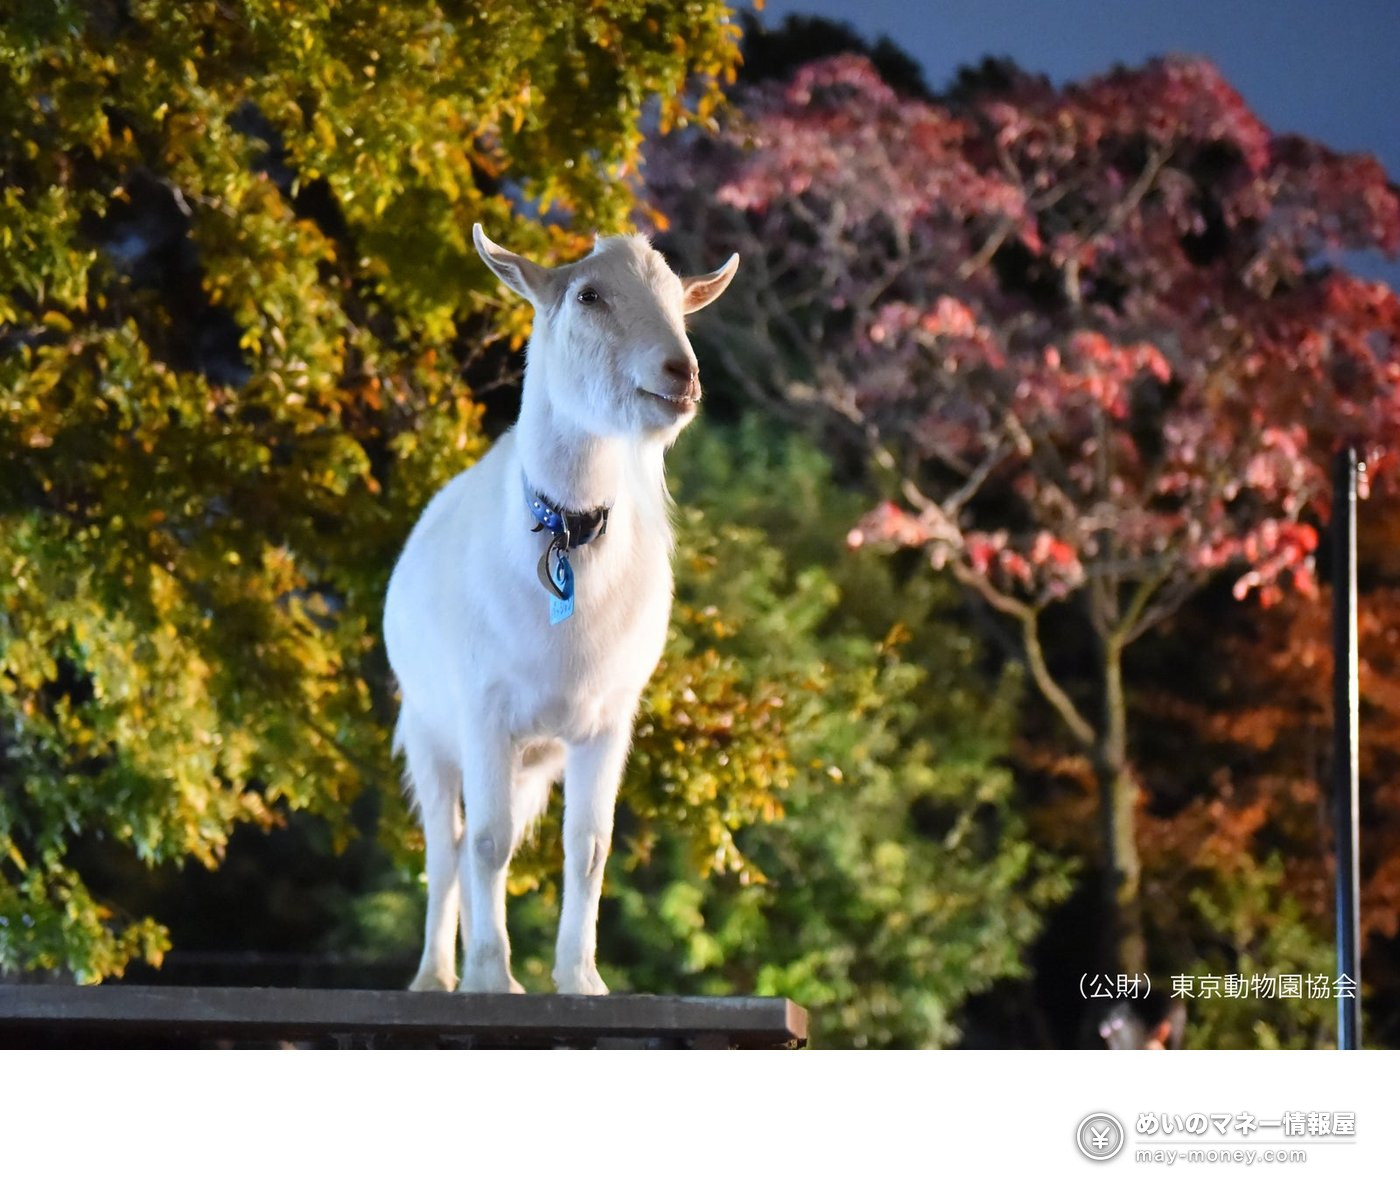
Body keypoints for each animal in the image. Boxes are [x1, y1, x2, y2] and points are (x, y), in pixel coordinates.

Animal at [383, 225, 738, 994]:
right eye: (588, 296)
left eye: (679, 300)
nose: (682, 373)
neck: (563, 530)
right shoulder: (484, 710)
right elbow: (487, 844)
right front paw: (493, 979)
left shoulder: (605, 722)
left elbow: (589, 847)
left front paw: (579, 978)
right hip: (427, 729)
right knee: (446, 846)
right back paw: (436, 977)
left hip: (532, 759)